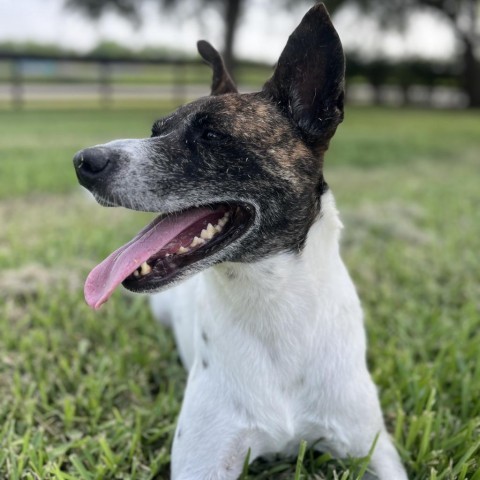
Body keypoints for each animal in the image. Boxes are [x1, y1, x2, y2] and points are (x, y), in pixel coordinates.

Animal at [74, 4, 408, 480]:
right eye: (156, 131)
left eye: (212, 135)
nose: (83, 162)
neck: (271, 301)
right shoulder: (203, 463)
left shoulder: (372, 448)